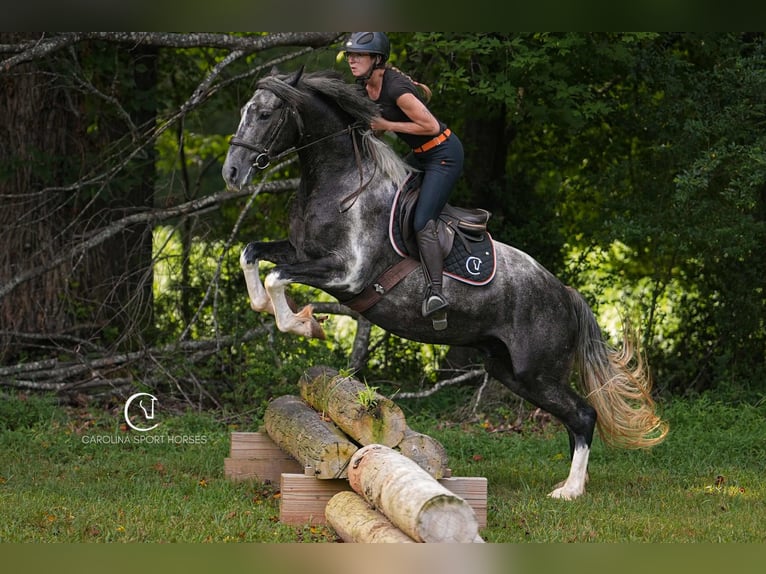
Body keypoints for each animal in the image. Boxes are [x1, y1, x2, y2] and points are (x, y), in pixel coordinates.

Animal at [222, 68, 668, 500]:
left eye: (265, 114)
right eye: (243, 111)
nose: (231, 172)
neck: (340, 183)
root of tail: (566, 294)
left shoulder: (346, 274)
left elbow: (277, 277)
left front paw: (304, 324)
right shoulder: (301, 252)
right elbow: (251, 254)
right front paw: (270, 307)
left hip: (536, 371)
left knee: (583, 415)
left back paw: (570, 491)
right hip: (508, 369)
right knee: (572, 418)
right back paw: (574, 484)